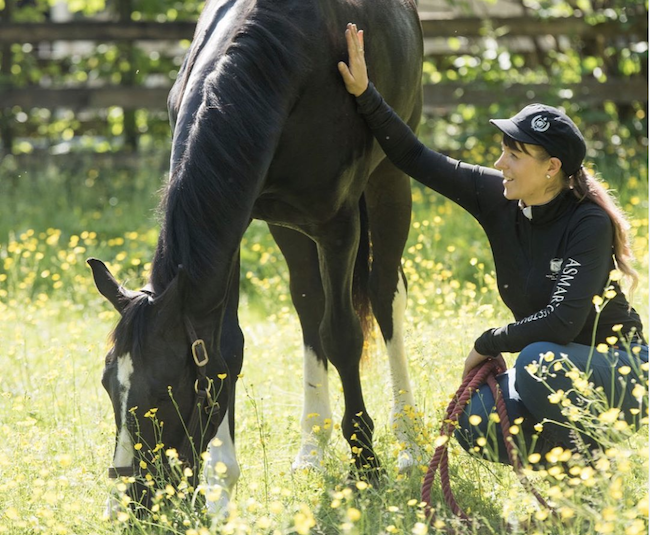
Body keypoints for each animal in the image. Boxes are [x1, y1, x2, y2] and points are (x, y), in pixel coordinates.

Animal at [88, 0, 424, 516]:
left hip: (390, 180)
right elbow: (226, 346)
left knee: (385, 295)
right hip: (287, 227)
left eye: (164, 393)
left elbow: (343, 335)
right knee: (308, 304)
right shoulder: (237, 223)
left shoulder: (339, 225)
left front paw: (366, 466)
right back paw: (311, 447)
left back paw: (408, 443)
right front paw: (221, 485)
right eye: (109, 385)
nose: (130, 505)